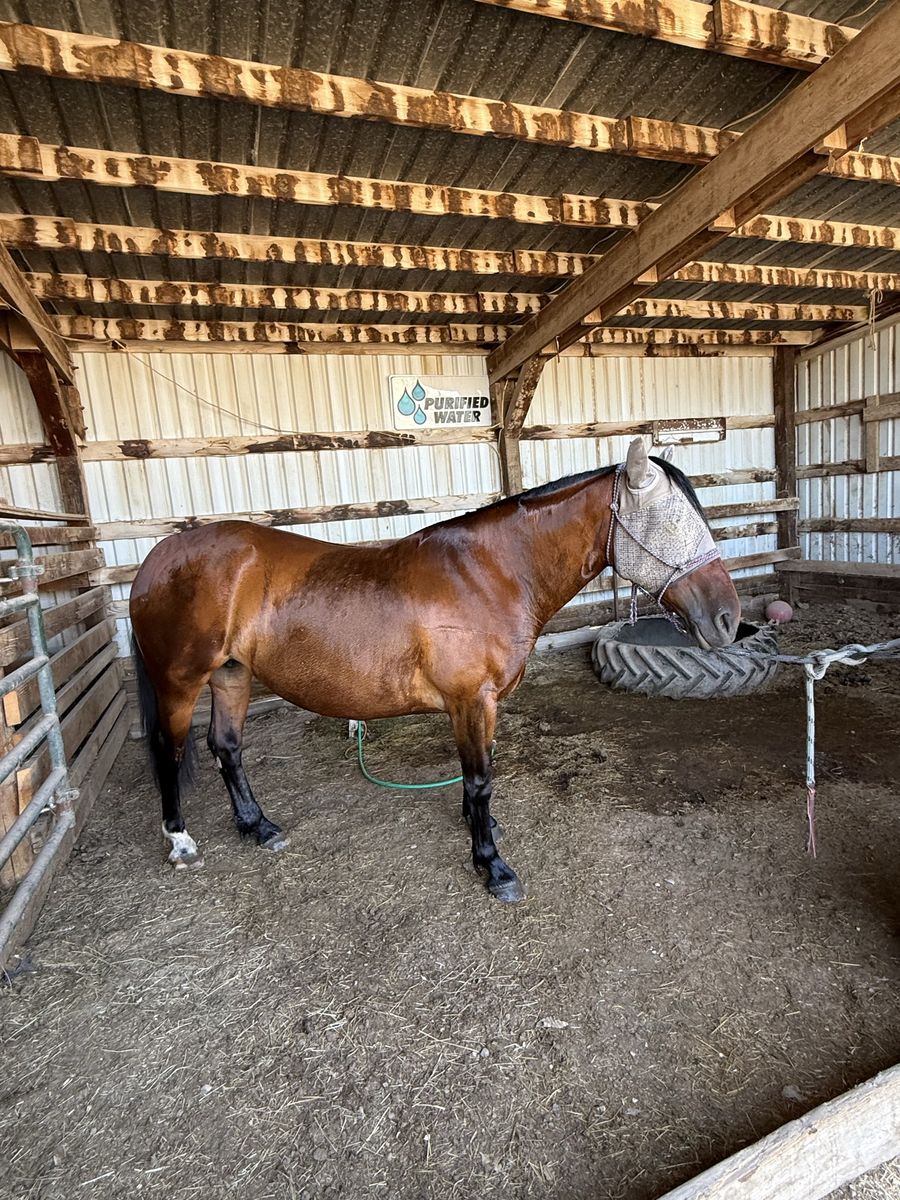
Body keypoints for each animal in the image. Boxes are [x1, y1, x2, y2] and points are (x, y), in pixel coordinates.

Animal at [130, 438, 739, 902]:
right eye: (667, 520)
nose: (727, 618)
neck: (489, 572)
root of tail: (156, 558)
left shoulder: (477, 706)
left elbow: (477, 779)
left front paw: (480, 831)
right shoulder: (471, 700)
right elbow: (479, 779)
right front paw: (492, 865)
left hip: (232, 674)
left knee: (226, 747)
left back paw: (258, 826)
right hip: (180, 682)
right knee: (169, 749)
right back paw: (180, 841)